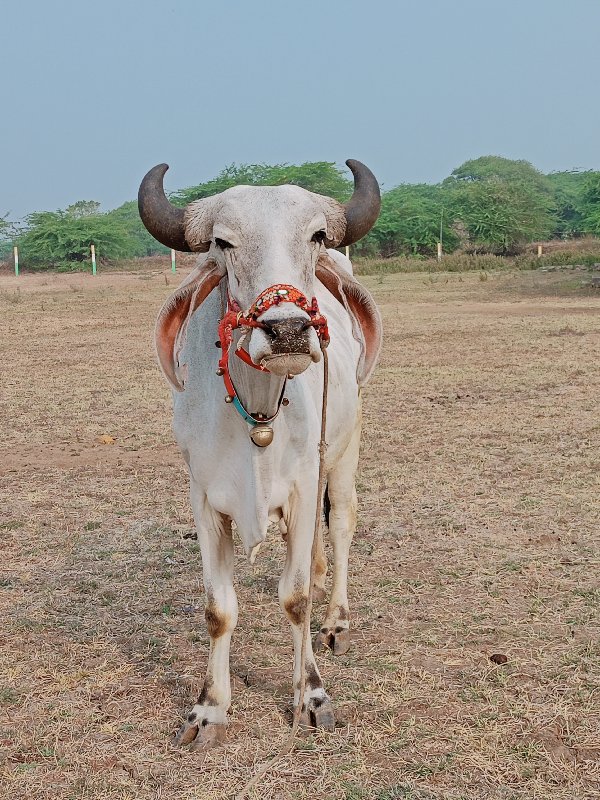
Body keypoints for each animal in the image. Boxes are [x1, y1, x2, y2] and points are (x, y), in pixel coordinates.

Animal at [138, 161, 382, 752]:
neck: (258, 411)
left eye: (316, 236)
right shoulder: (205, 501)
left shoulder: (302, 489)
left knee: (341, 524)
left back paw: (337, 619)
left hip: (345, 452)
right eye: (223, 243)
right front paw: (210, 708)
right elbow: (218, 609)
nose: (288, 329)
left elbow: (295, 599)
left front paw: (311, 696)